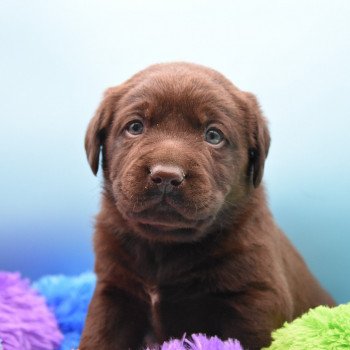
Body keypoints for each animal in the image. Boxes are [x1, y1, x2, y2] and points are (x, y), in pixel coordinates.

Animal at [80, 63, 334, 350]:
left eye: (213, 135)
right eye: (135, 127)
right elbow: (98, 337)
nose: (166, 175)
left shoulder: (254, 301)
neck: (164, 245)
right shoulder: (113, 292)